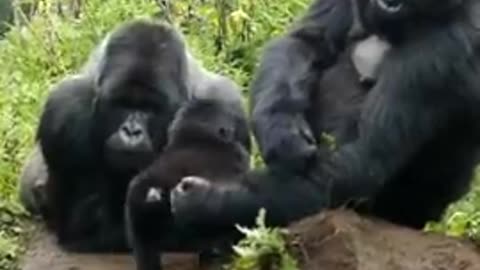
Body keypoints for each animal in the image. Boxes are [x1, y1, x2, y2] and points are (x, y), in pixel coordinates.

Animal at [18, 19, 244, 253]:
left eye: (150, 108)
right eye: (122, 104)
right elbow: (79, 227)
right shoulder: (63, 110)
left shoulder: (226, 102)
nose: (131, 131)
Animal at [166, 0, 480, 232]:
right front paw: (281, 129)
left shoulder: (445, 48)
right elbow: (304, 41)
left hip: (406, 211)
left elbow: (359, 159)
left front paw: (210, 200)